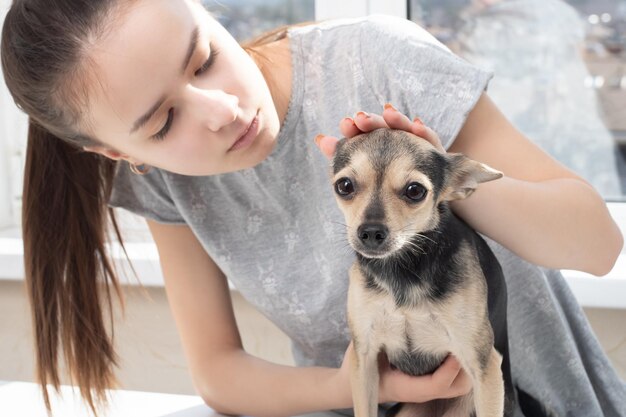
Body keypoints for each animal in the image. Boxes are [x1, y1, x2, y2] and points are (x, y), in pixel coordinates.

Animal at [326, 128, 512, 416]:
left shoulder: (484, 364)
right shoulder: (364, 359)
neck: (403, 270)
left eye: (415, 191)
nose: (370, 232)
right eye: (344, 186)